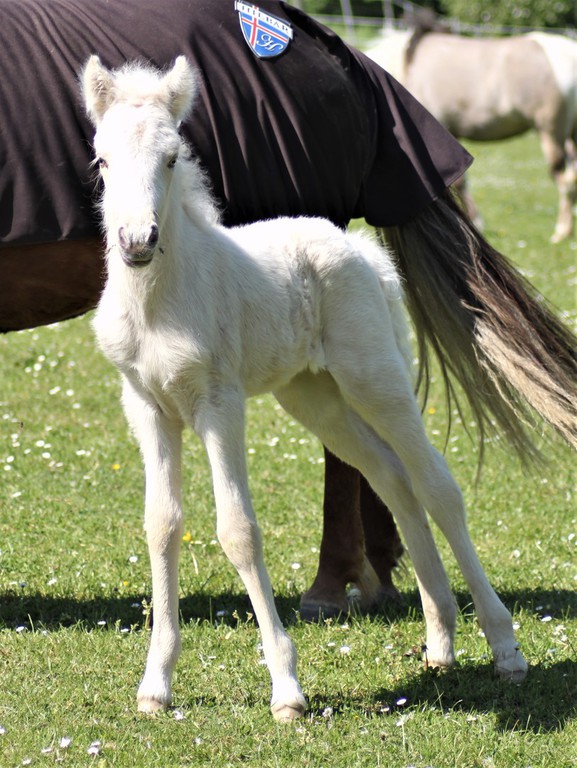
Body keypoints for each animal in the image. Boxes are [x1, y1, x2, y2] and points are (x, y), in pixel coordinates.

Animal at [82, 55, 531, 721]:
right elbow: (161, 525)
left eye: (170, 158)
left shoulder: (219, 404)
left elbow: (238, 532)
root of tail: (362, 251)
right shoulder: (147, 406)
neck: (159, 302)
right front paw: (156, 684)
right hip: (316, 397)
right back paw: (440, 640)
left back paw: (504, 648)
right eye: (102, 161)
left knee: (436, 484)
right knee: (392, 478)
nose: (137, 241)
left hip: (374, 377)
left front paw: (287, 690)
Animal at [365, 22, 577, 242]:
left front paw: (475, 221)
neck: (408, 68)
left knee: (564, 180)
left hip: (551, 135)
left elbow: (457, 182)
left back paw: (561, 231)